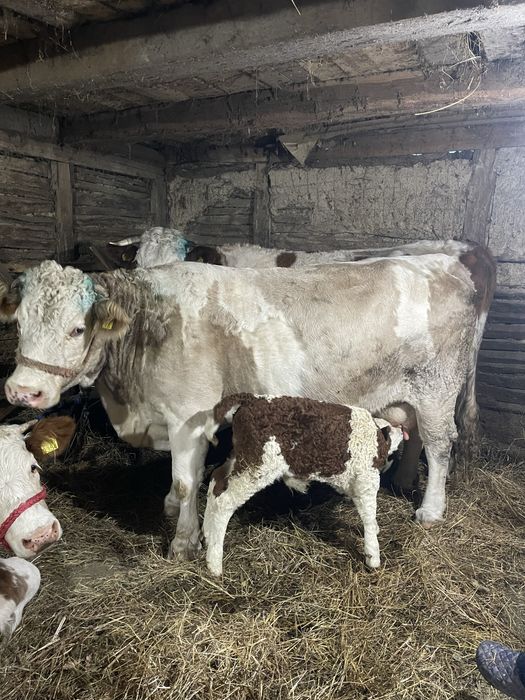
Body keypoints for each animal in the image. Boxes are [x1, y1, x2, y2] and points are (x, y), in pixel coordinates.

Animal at [202, 394, 405, 576]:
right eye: (391, 428)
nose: (402, 428)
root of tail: (251, 399)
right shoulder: (366, 481)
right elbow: (369, 517)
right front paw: (373, 557)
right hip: (257, 467)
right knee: (224, 502)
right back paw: (214, 564)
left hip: (240, 460)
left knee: (216, 481)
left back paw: (207, 534)